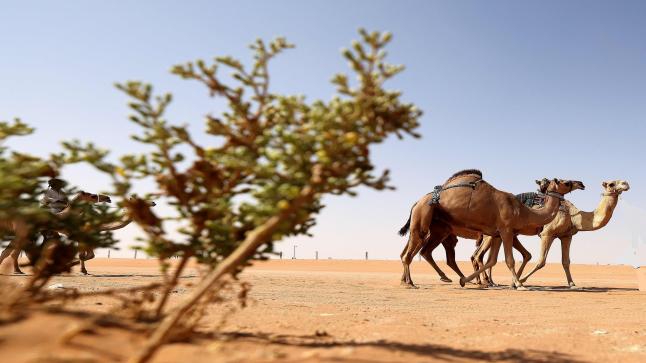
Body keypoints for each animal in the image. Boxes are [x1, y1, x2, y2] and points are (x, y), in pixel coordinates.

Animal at [402, 169, 580, 292]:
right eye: (566, 182)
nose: (581, 183)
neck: (523, 211)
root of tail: (417, 202)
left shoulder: (496, 234)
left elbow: (492, 260)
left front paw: (467, 281)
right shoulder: (506, 230)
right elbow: (509, 260)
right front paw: (519, 285)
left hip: (438, 228)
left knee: (422, 251)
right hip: (423, 217)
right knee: (411, 252)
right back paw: (410, 283)